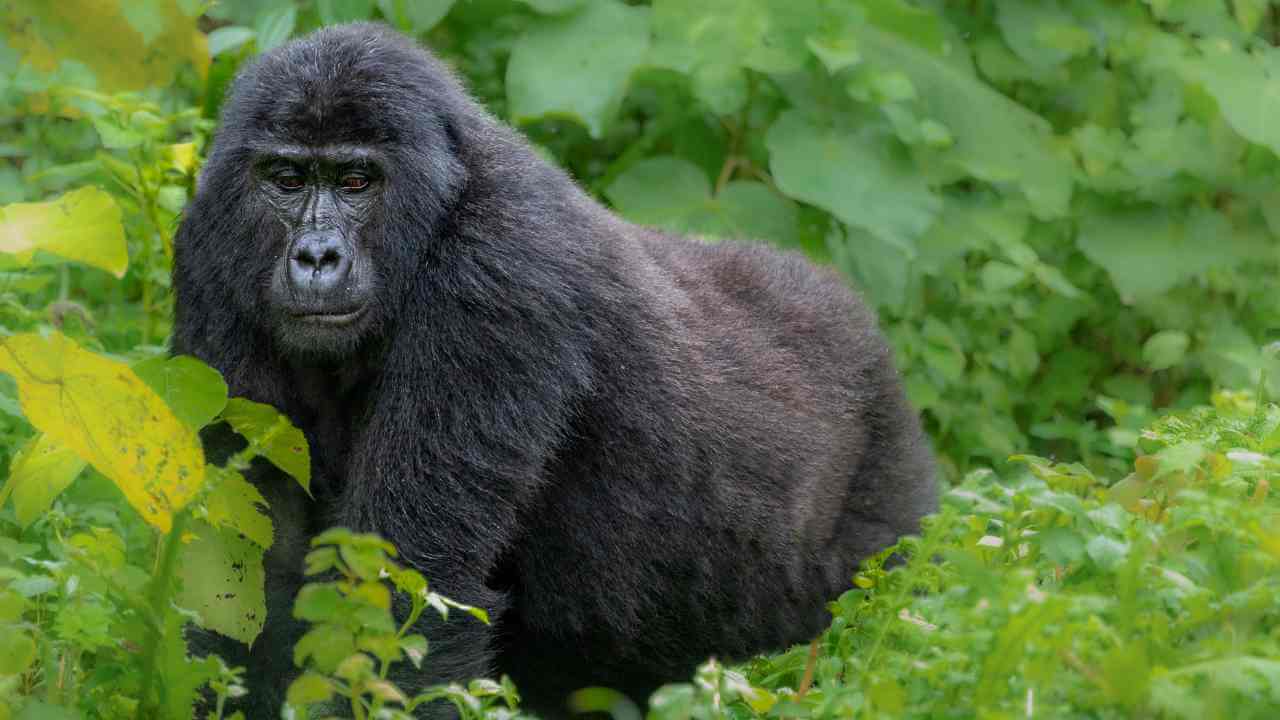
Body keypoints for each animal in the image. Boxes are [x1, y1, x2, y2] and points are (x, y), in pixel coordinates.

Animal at [170, 20, 936, 712]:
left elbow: (409, 588)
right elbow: (247, 568)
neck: (441, 204)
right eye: (287, 178)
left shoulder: (501, 272)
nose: (316, 256)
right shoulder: (211, 240)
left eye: (357, 180)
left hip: (887, 497)